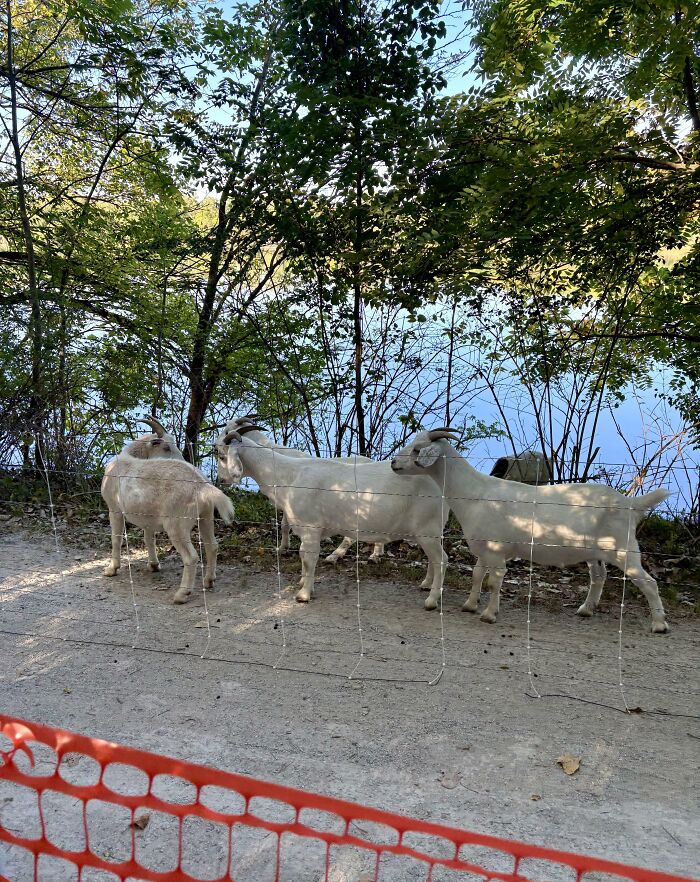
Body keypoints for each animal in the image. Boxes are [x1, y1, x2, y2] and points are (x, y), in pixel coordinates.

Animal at [102, 420, 234, 603]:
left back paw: (182, 594)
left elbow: (116, 539)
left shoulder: (114, 508)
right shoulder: (147, 517)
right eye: (166, 447)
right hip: (205, 515)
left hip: (176, 524)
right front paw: (153, 565)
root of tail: (201, 485)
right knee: (212, 546)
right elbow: (149, 539)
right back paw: (208, 580)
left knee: (191, 556)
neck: (127, 460)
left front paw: (112, 569)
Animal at [223, 416, 384, 563]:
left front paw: (283, 548)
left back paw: (340, 555)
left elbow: (285, 525)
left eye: (226, 431)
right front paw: (284, 548)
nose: (222, 480)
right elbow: (284, 526)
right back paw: (376, 553)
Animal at [391, 429, 669, 633]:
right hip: (595, 553)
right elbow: (477, 575)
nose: (393, 462)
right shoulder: (483, 547)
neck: (475, 492)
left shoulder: (496, 550)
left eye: (417, 450)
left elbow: (494, 581)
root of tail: (630, 504)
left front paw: (489, 614)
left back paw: (659, 624)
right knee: (599, 577)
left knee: (648, 582)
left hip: (624, 549)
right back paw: (586, 609)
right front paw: (469, 605)